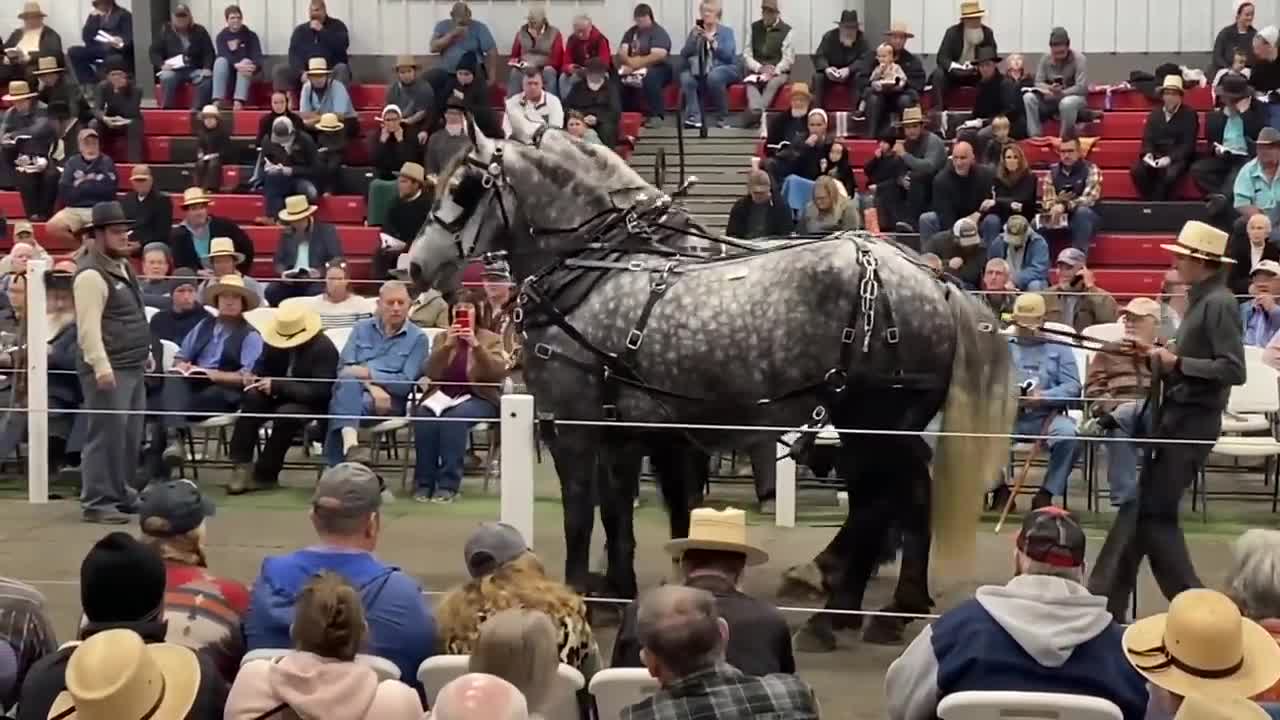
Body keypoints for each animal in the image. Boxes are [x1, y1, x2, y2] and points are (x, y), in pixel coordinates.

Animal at [404, 110, 1013, 638]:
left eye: (465, 188)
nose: (414, 266)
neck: (599, 269)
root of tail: (934, 282)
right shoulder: (632, 428)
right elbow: (623, 509)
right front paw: (620, 589)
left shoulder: (573, 422)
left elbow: (582, 512)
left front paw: (582, 591)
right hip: (884, 422)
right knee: (898, 497)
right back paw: (880, 604)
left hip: (873, 418)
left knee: (884, 500)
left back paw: (842, 612)